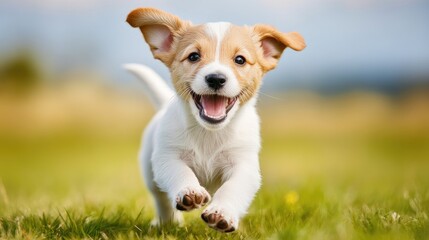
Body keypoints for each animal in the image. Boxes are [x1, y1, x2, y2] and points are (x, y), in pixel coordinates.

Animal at [123, 7, 304, 232]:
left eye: (240, 60)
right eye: (194, 56)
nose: (216, 78)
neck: (209, 132)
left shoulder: (244, 165)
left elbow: (232, 188)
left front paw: (222, 212)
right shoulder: (167, 157)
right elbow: (181, 172)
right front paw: (190, 191)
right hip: (150, 173)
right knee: (161, 200)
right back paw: (168, 223)